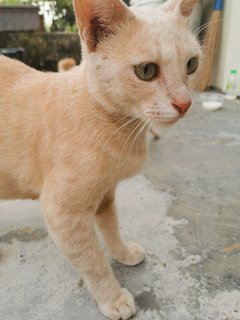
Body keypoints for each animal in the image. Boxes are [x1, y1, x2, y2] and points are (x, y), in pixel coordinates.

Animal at [0, 1, 202, 318]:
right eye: (146, 70)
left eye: (191, 65)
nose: (185, 103)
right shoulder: (63, 214)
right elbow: (92, 260)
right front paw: (113, 297)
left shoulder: (106, 193)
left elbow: (111, 227)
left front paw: (122, 252)